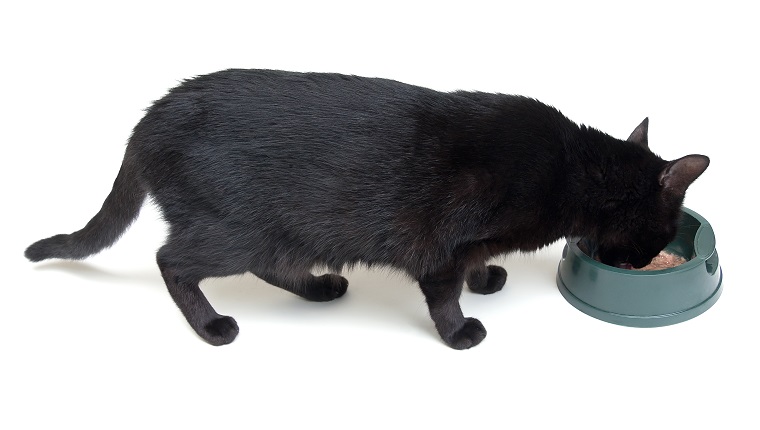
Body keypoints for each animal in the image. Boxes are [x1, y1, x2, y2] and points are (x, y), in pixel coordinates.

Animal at [25, 69, 712, 348]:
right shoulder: (440, 246)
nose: (644, 261)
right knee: (172, 260)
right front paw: (460, 332)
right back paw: (212, 326)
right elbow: (443, 293)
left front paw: (488, 278)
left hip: (283, 233)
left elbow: (472, 269)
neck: (572, 170)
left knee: (272, 266)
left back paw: (320, 288)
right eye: (662, 233)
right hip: (237, 231)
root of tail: (148, 118)